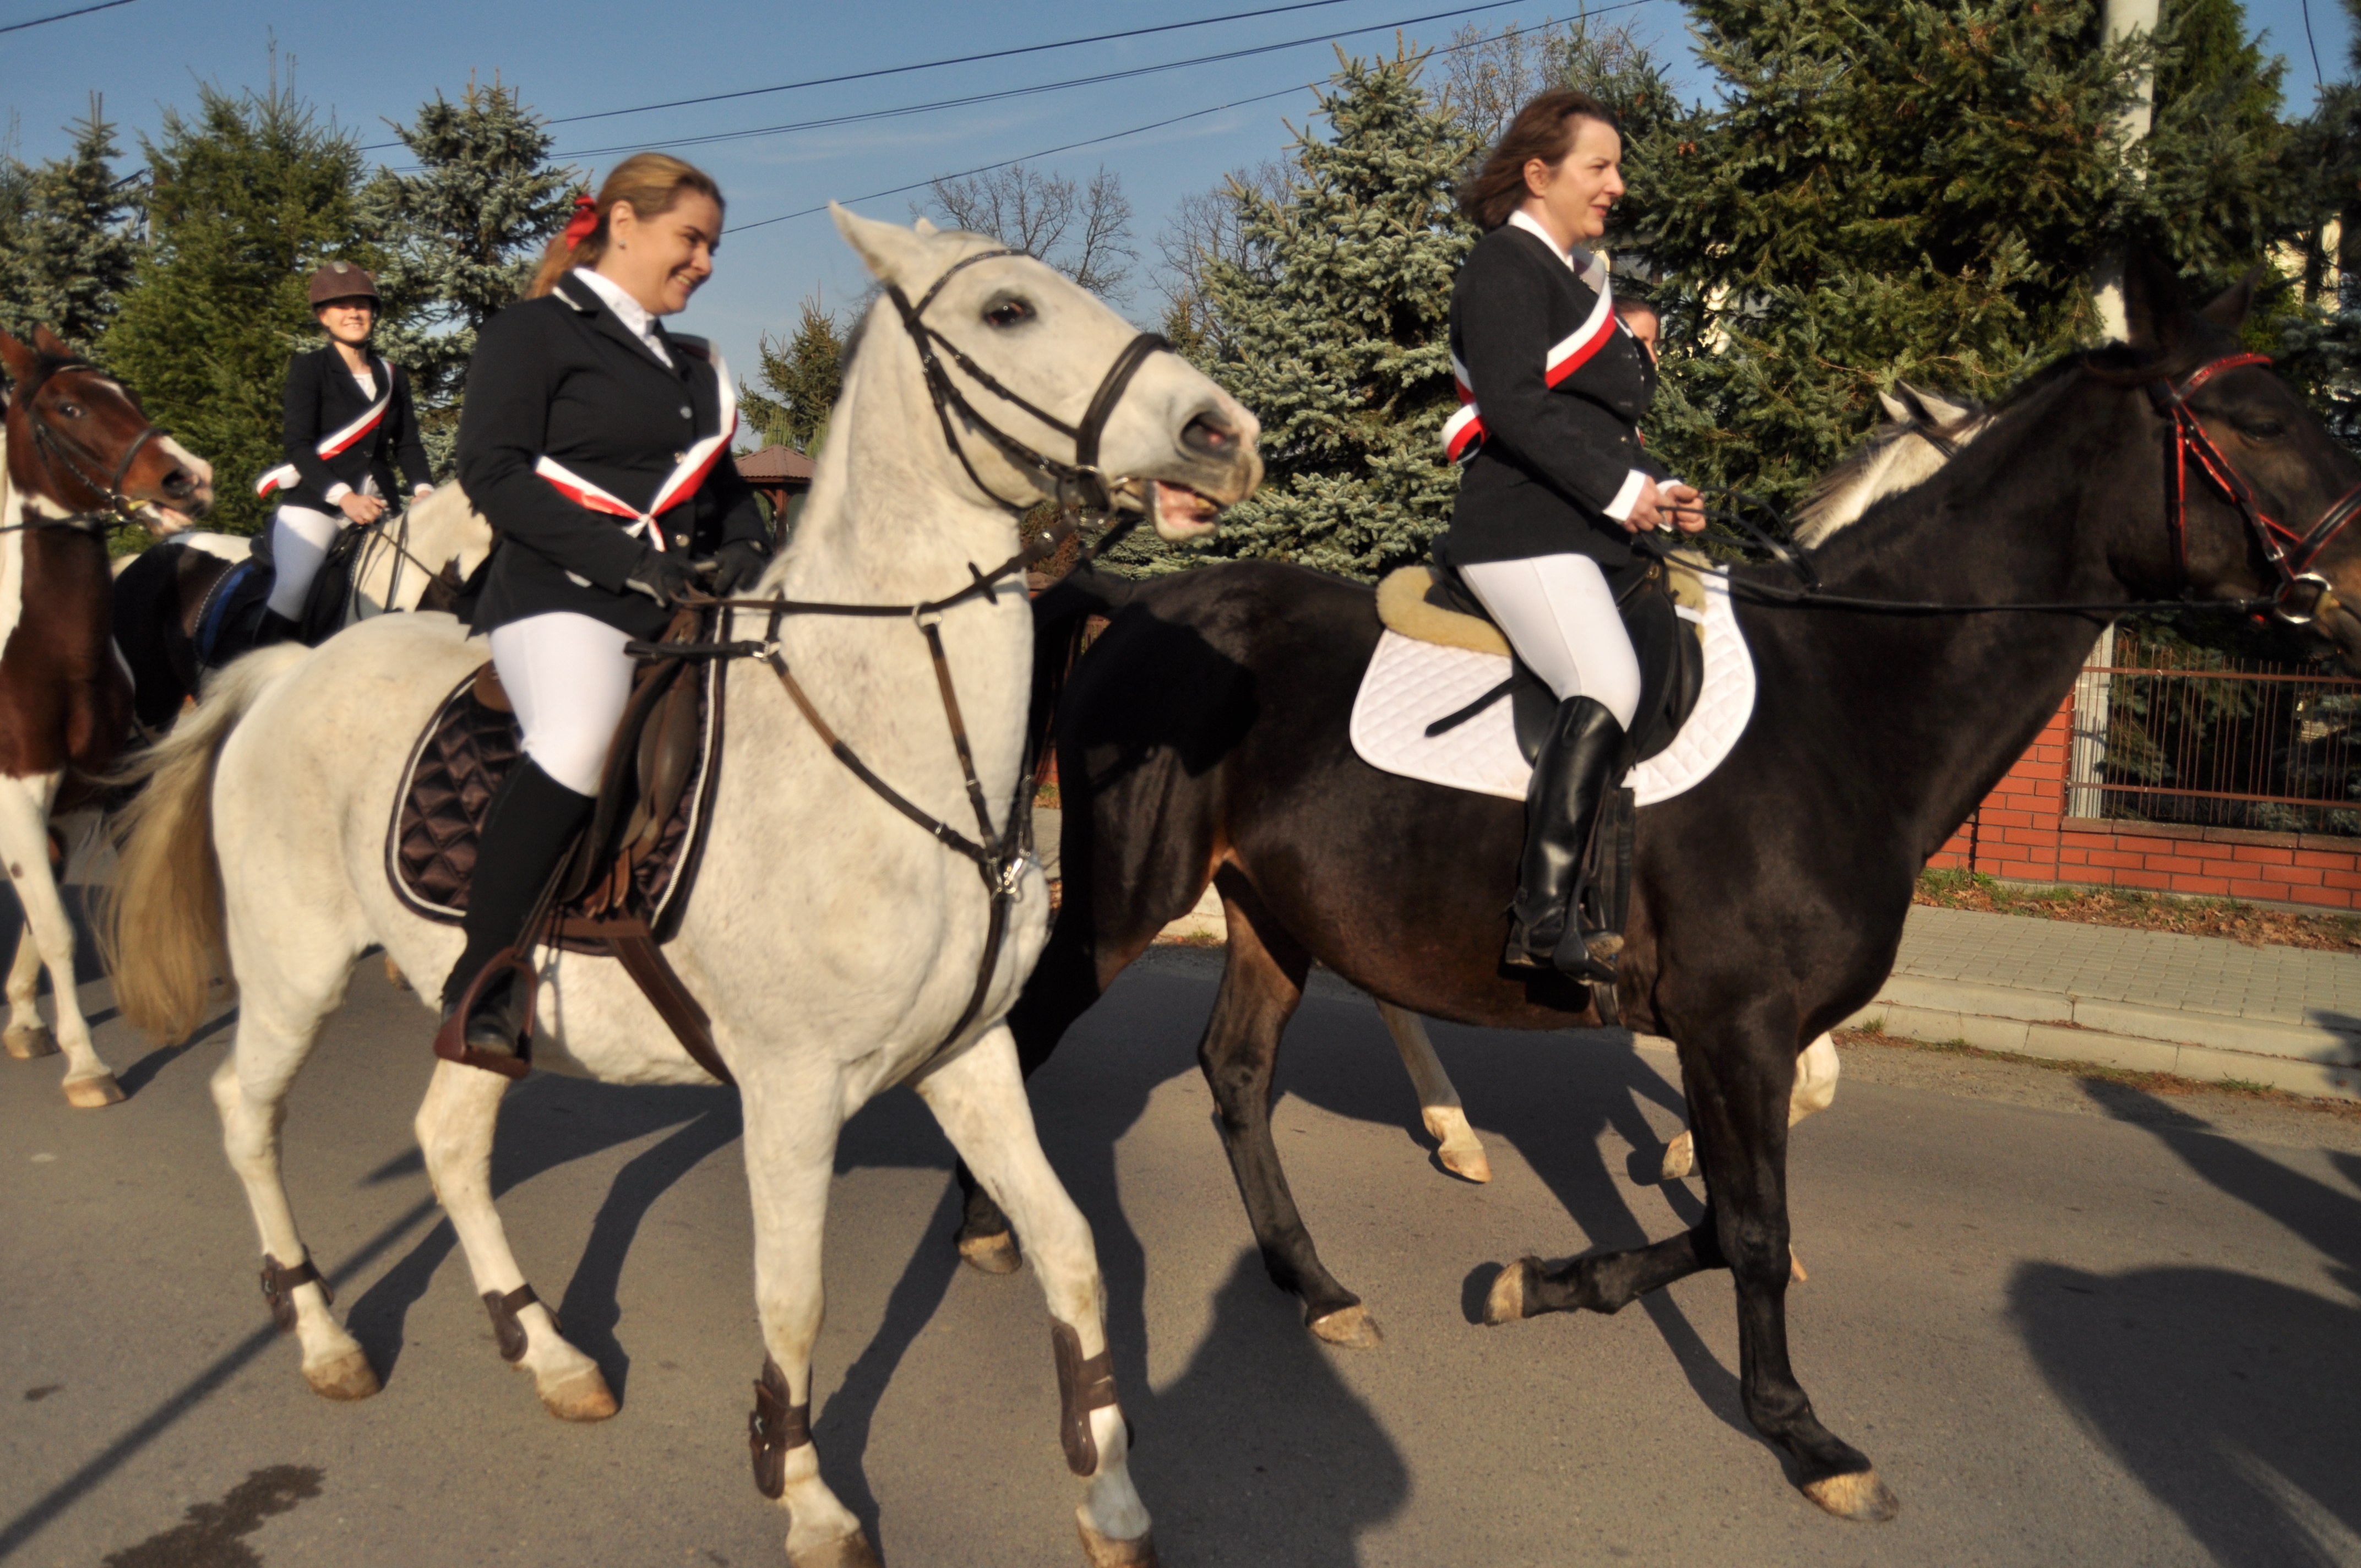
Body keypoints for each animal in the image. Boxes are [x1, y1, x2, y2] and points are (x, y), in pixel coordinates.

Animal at [0, 330, 214, 1109]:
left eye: (128, 392)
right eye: (69, 407)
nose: (187, 478)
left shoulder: (85, 794)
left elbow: (43, 915)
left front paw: (26, 1019)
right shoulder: (15, 796)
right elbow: (56, 927)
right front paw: (86, 1064)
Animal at [104, 208, 1265, 1567]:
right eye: (1008, 313)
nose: (1224, 434)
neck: (906, 749)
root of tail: (290, 671)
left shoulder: (967, 1056)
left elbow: (1071, 1250)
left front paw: (1109, 1488)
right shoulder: (792, 1088)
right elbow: (794, 1295)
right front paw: (806, 1492)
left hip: (473, 993)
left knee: (448, 1140)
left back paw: (545, 1348)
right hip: (293, 967)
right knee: (247, 1109)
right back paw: (325, 1333)